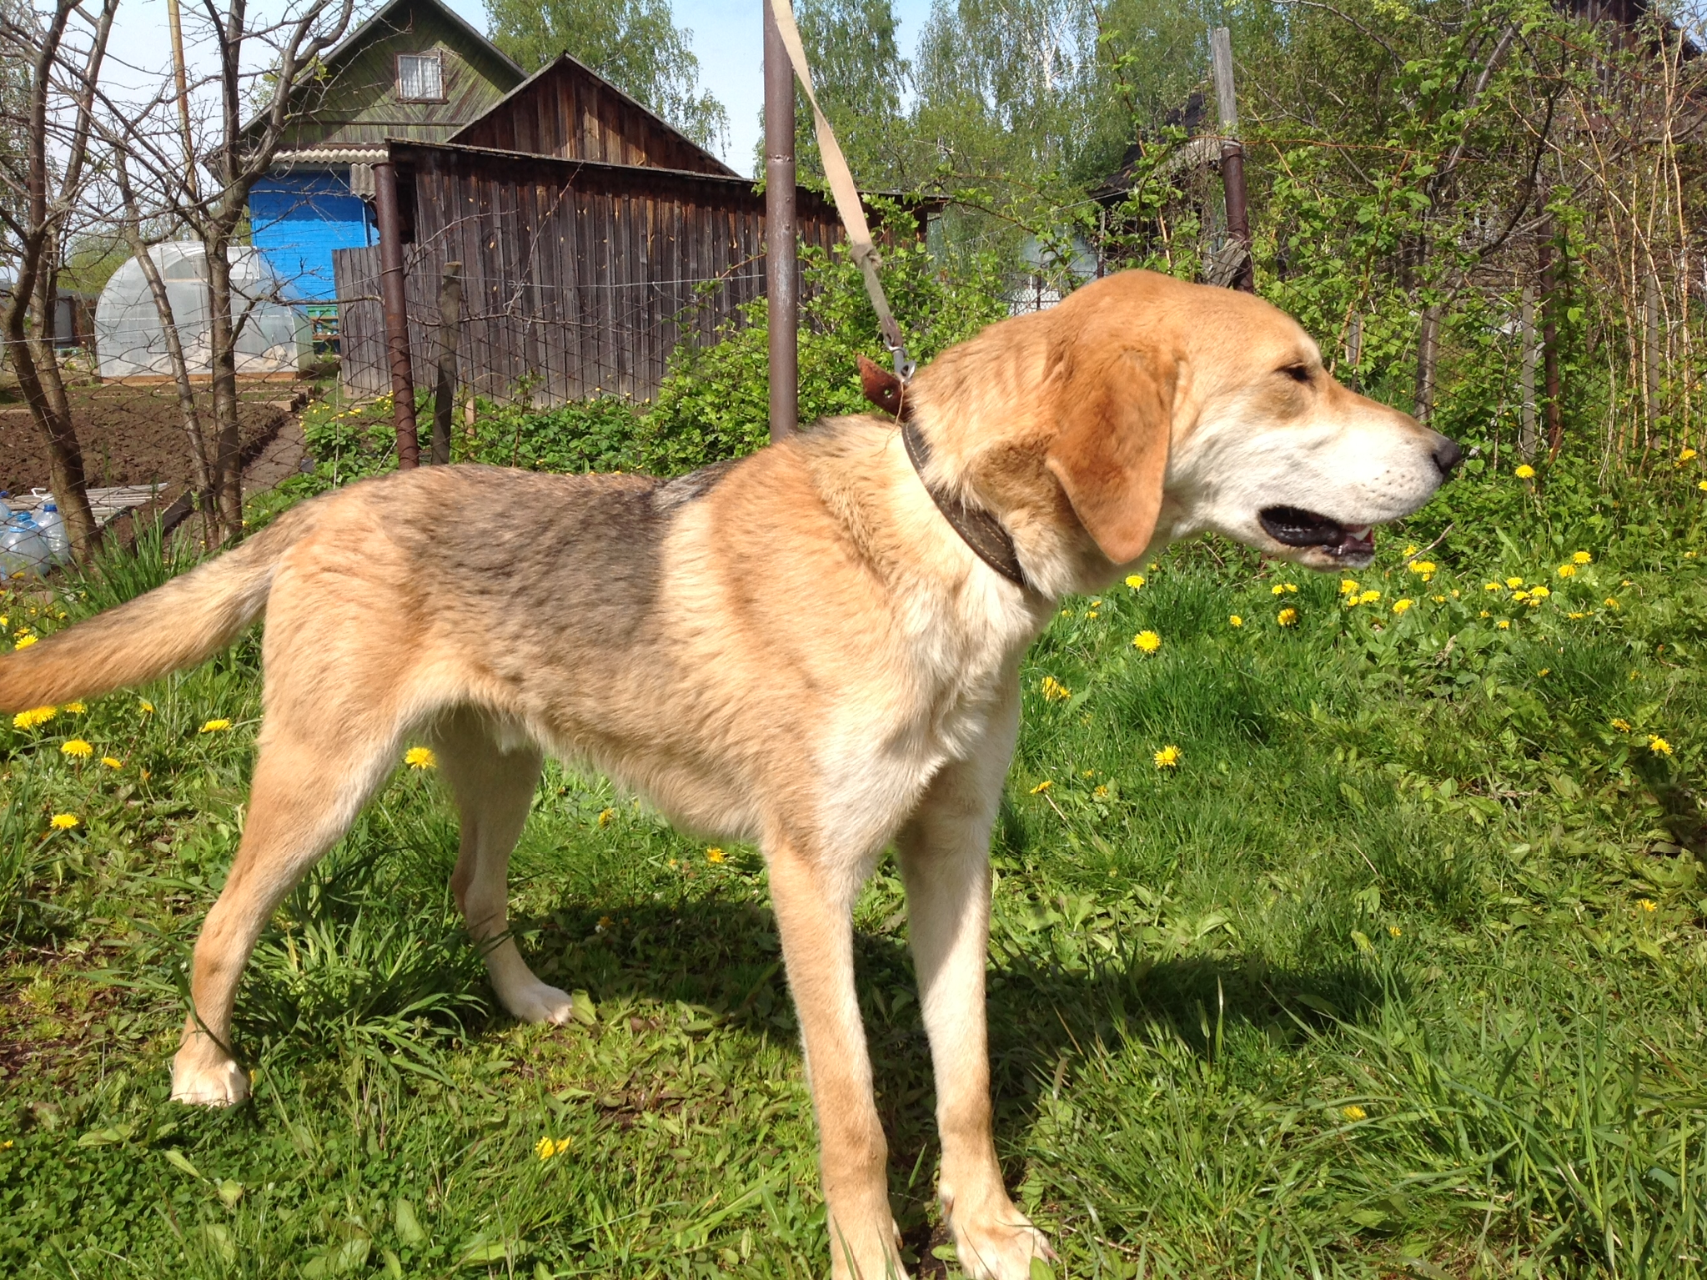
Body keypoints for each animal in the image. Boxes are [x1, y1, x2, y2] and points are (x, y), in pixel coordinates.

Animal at [3, 273, 1468, 1280]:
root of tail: (318, 507)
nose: (1452, 452)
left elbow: (965, 1084)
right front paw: (873, 1261)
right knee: (219, 922)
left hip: (504, 778)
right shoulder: (812, 877)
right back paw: (202, 1076)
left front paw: (989, 1233)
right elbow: (856, 1114)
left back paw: (528, 1002)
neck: (945, 538)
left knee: (474, 898)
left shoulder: (952, 859)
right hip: (320, 786)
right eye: (1296, 374)